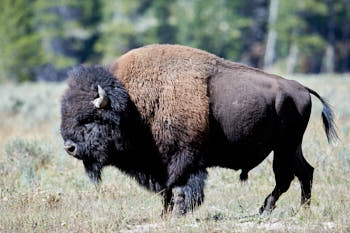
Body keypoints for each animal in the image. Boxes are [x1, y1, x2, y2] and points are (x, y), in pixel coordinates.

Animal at [60, 43, 336, 215]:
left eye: (90, 119)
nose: (69, 147)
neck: (133, 103)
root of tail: (300, 88)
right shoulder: (160, 165)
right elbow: (167, 191)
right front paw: (165, 214)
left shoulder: (183, 160)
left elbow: (181, 188)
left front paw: (178, 213)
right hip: (290, 147)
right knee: (305, 172)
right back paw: (301, 210)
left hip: (284, 147)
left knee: (286, 177)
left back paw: (266, 209)